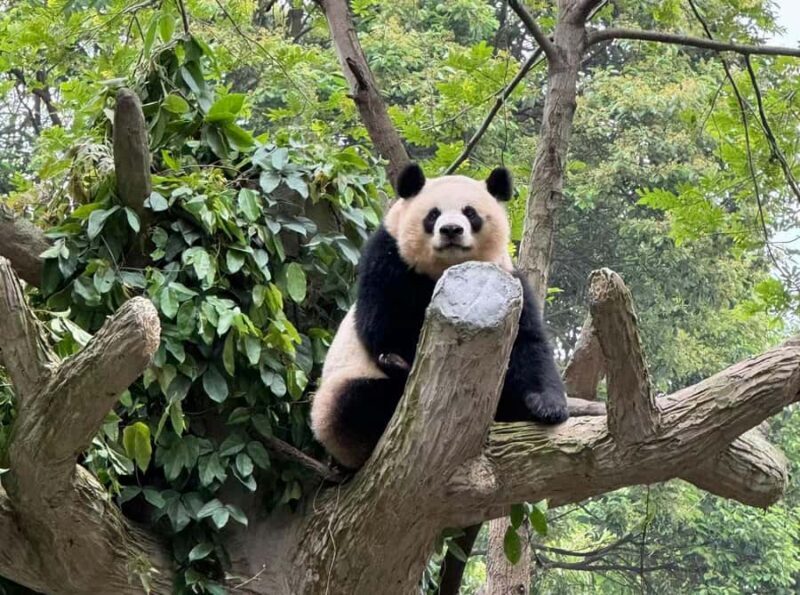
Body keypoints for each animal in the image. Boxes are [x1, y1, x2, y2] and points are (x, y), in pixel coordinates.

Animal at [310, 163, 568, 469]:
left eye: (470, 212)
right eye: (433, 215)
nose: (451, 230)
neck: (447, 269)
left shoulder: (508, 281)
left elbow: (529, 345)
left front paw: (549, 406)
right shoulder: (388, 260)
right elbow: (385, 325)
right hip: (337, 395)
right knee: (357, 404)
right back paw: (396, 370)